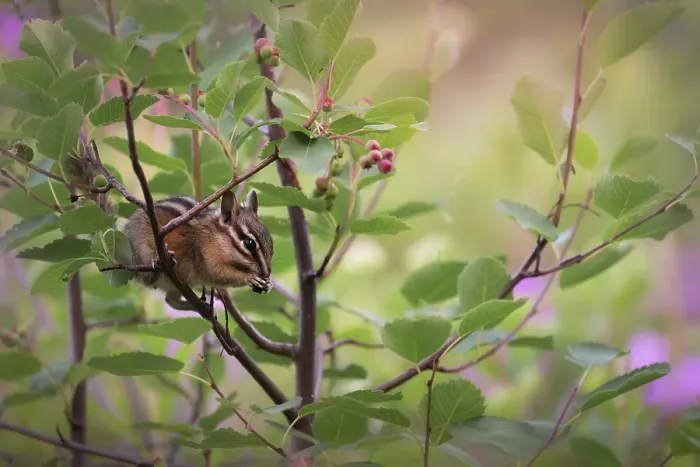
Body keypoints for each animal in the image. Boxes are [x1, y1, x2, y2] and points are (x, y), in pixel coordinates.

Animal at [123, 189, 274, 311]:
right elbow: (218, 274)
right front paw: (250, 277)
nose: (267, 273)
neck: (217, 238)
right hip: (141, 252)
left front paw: (268, 284)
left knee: (171, 301)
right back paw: (160, 262)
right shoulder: (206, 257)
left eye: (271, 242)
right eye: (249, 243)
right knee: (148, 278)